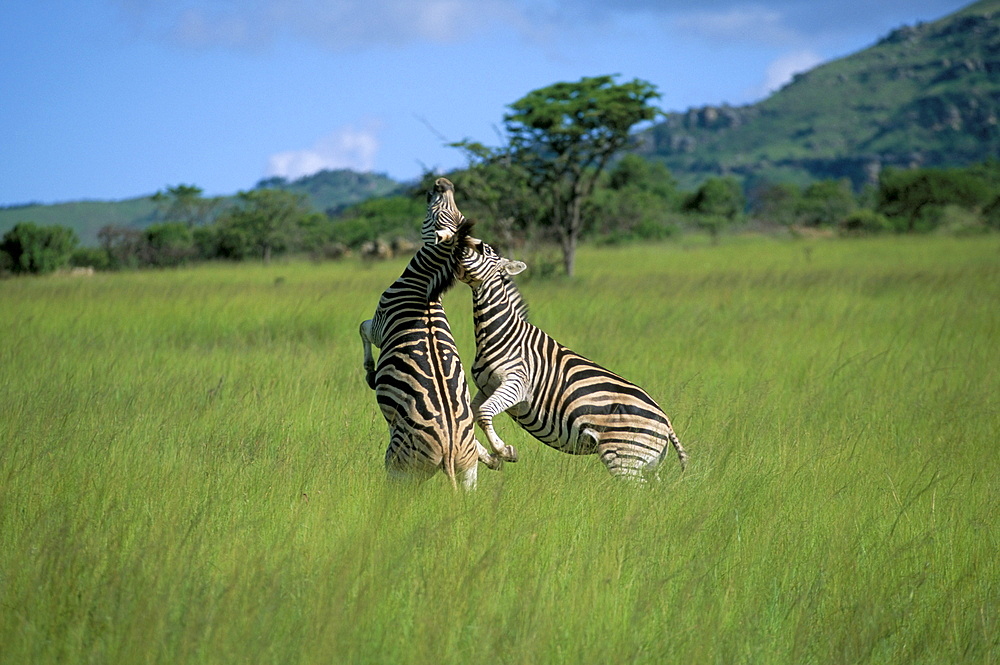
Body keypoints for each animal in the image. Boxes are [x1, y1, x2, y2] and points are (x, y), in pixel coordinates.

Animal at [458, 236, 692, 480]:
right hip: (646, 464)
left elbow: (483, 414)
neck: (501, 333)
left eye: (483, 249)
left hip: (624, 460)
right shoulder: (486, 388)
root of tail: (667, 424)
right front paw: (488, 457)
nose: (459, 240)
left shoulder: (517, 384)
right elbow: (468, 419)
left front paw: (504, 451)